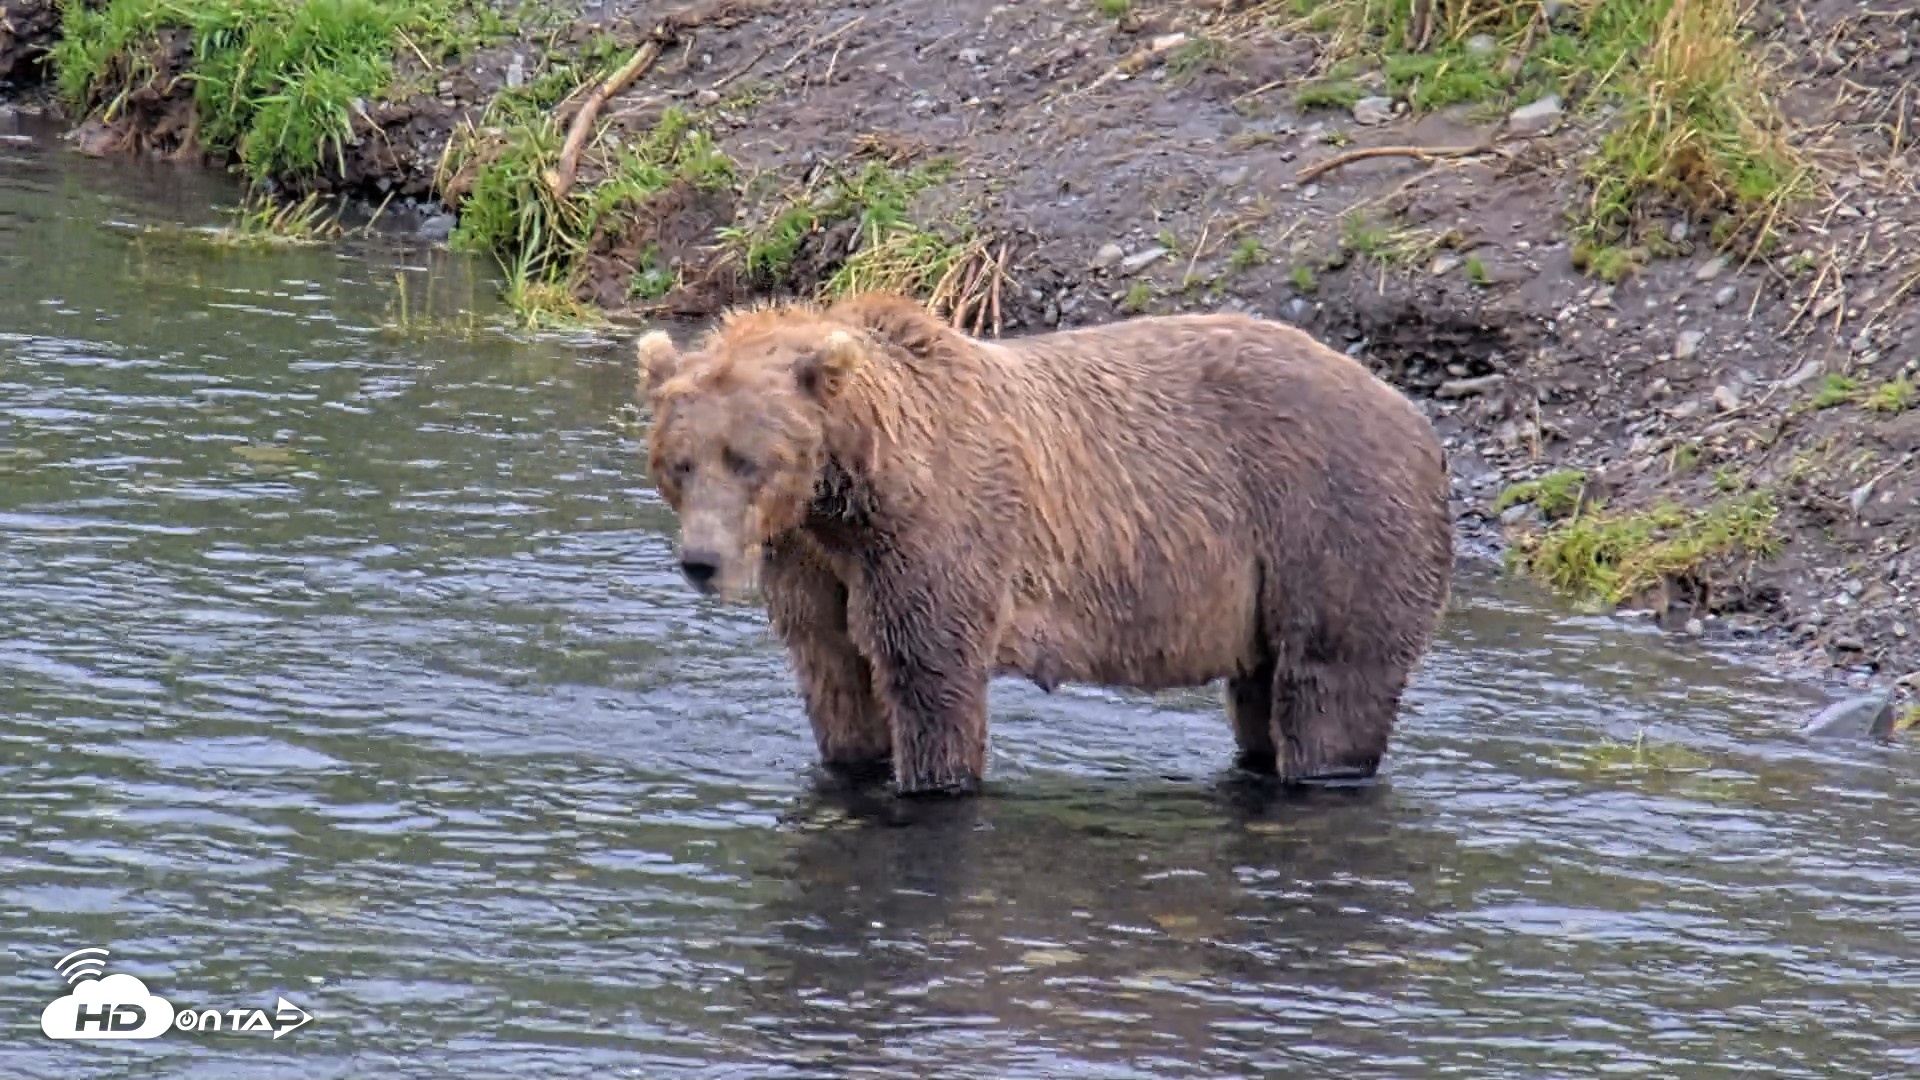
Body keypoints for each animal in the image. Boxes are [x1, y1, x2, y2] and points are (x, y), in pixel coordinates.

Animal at [634, 290, 1453, 797]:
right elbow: (834, 672)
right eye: (679, 461)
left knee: (1330, 684)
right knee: (1259, 691)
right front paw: (854, 765)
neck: (855, 488)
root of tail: (1416, 420)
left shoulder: (939, 537)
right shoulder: (814, 561)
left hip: (1328, 522)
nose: (703, 561)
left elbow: (930, 677)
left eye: (748, 459)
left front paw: (934, 777)